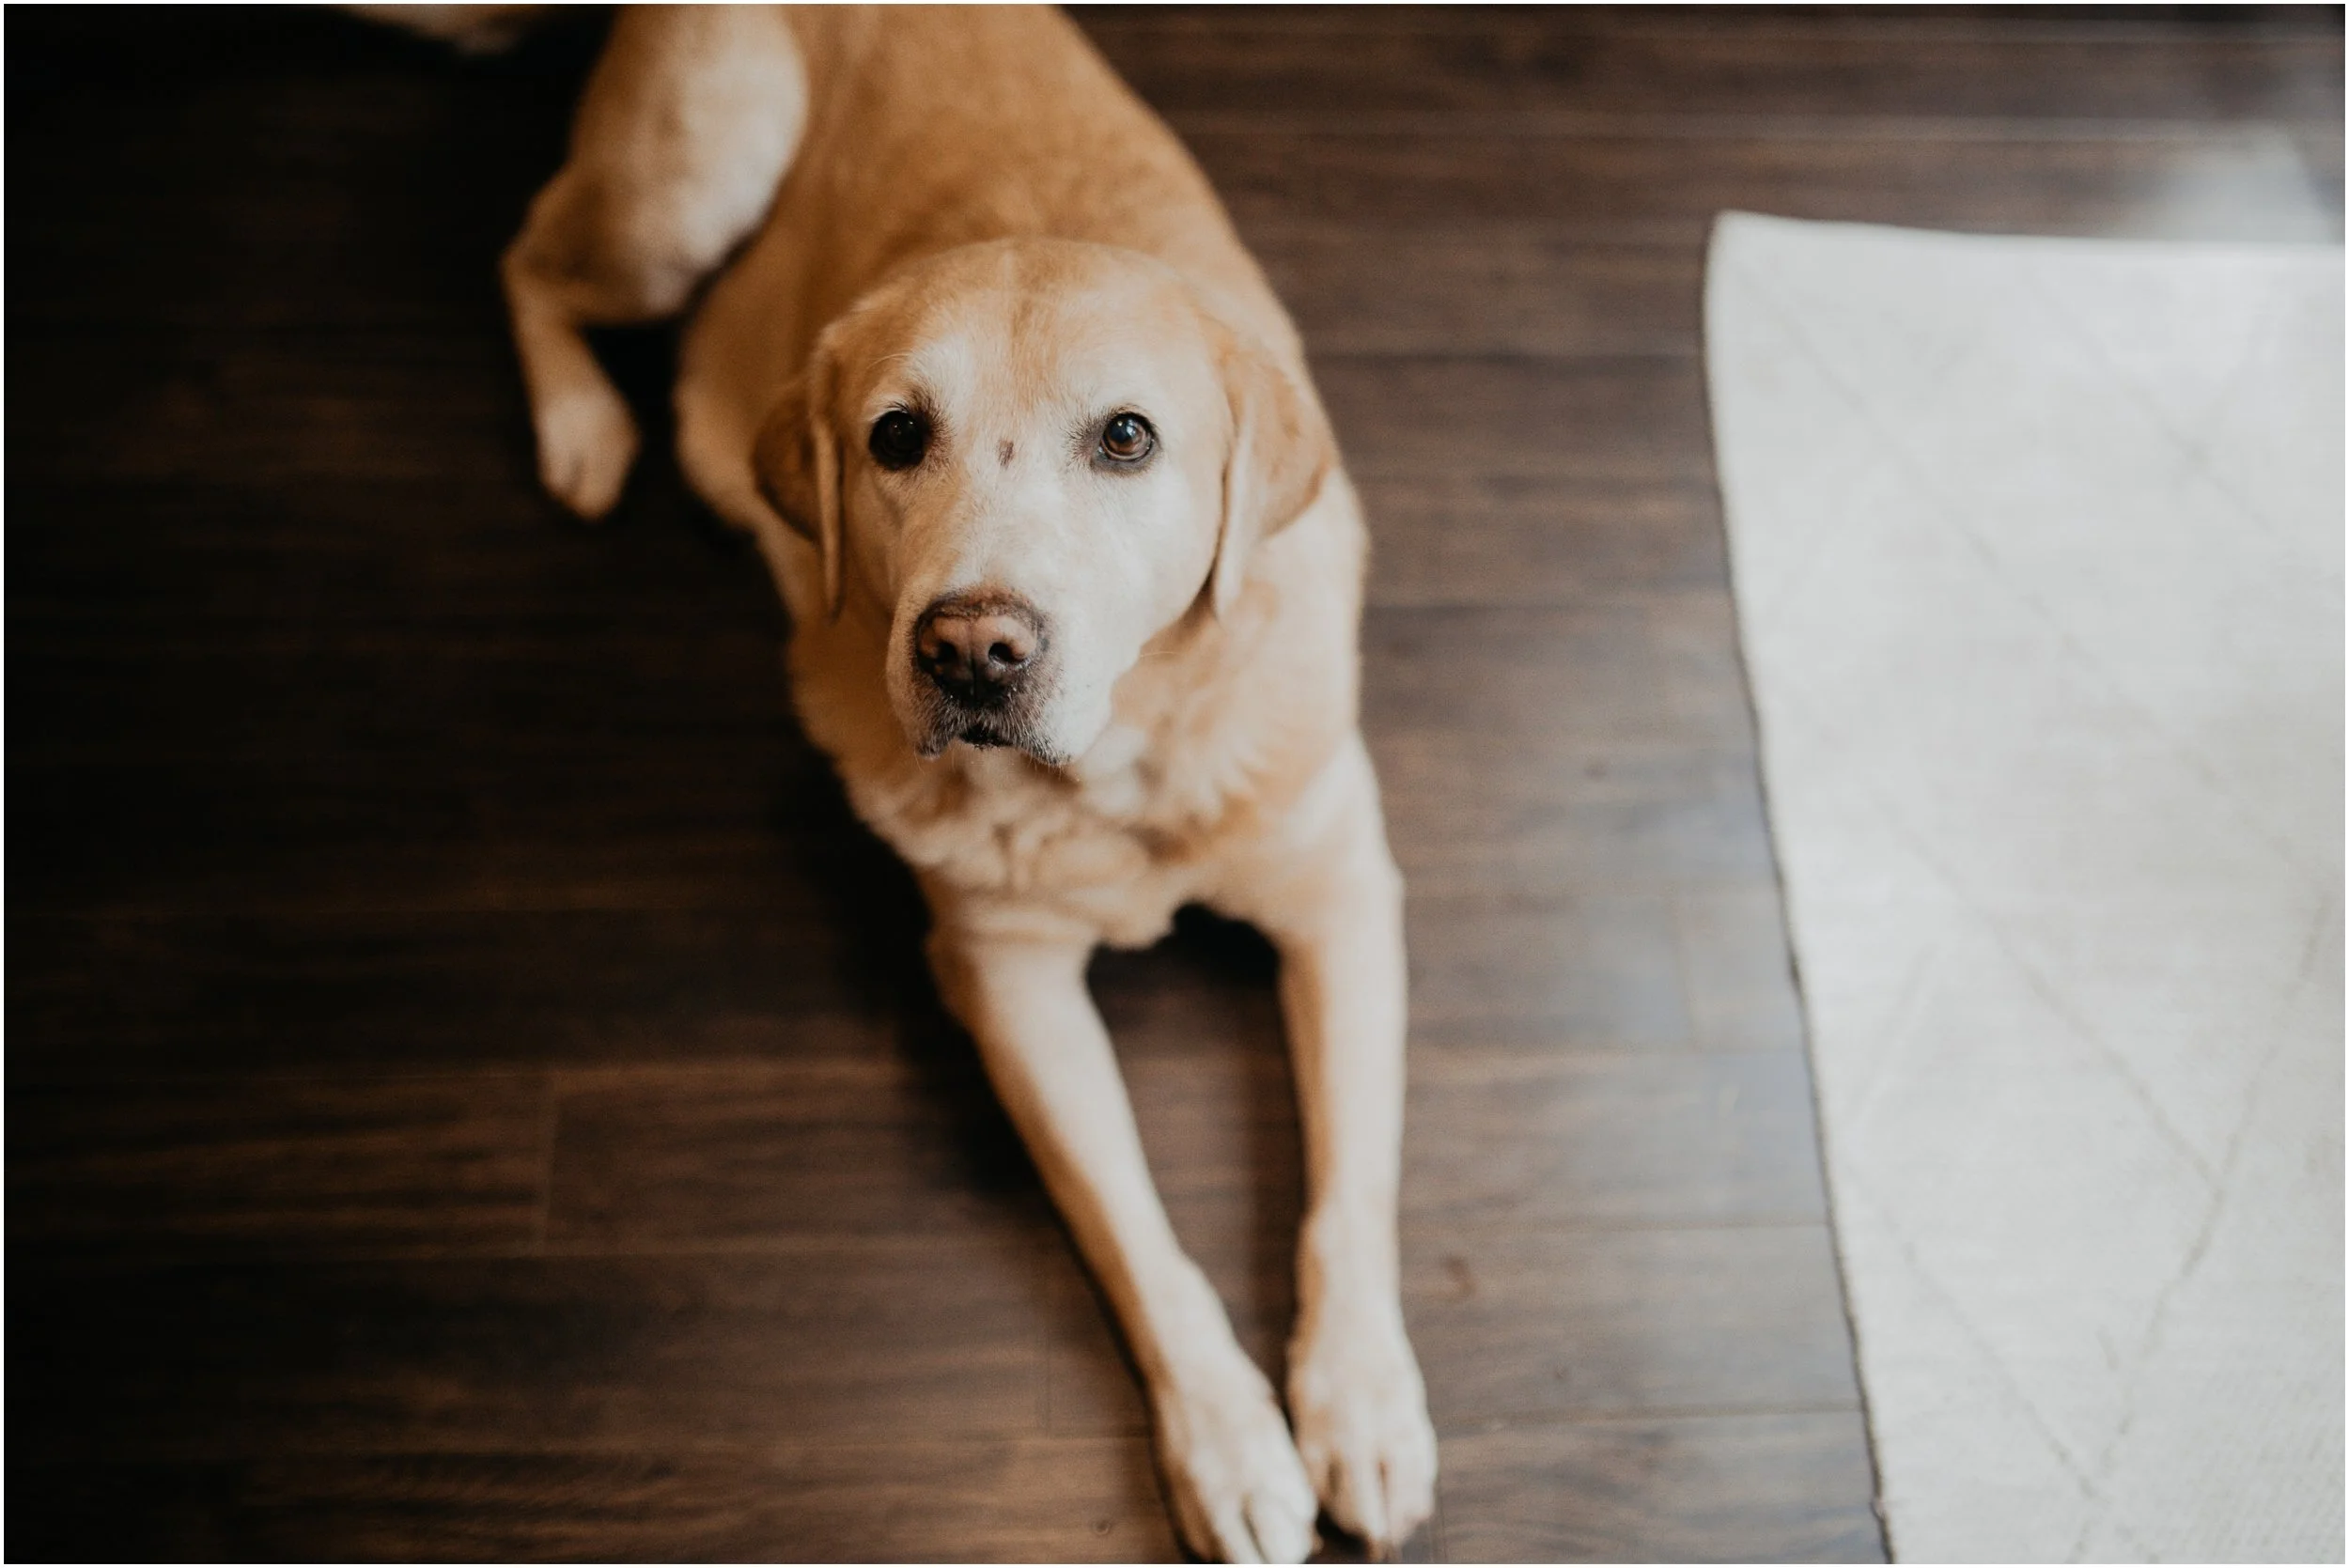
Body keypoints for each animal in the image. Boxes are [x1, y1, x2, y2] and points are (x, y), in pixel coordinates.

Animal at [388, 6, 1438, 1558]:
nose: (969, 649)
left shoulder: (1343, 894)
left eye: (1128, 437)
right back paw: (582, 424)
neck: (1111, 779)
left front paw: (1359, 1400)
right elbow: (1137, 1232)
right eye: (895, 436)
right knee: (527, 256)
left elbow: (1350, 1187)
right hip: (697, 171)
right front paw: (1232, 1439)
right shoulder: (1003, 976)